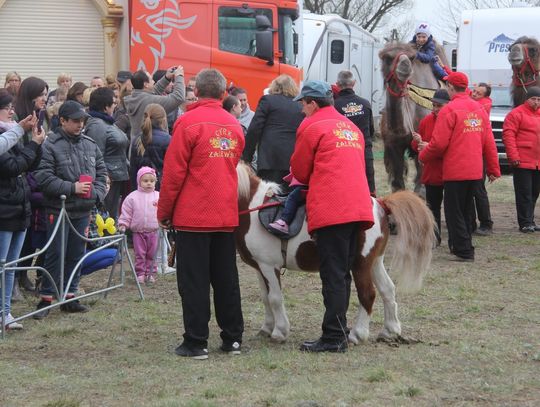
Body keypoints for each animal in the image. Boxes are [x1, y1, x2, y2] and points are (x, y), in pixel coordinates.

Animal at [235, 163, 436, 344]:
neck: (252, 208)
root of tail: (381, 203)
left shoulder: (269, 267)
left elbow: (275, 298)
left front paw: (279, 332)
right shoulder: (260, 267)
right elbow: (265, 297)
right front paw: (267, 328)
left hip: (361, 263)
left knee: (368, 294)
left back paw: (358, 334)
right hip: (374, 261)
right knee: (388, 289)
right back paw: (390, 330)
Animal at [379, 41, 448, 192]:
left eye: (411, 58)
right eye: (387, 58)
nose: (405, 65)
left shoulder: (423, 142)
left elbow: (421, 186)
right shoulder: (393, 144)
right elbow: (398, 184)